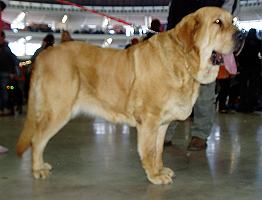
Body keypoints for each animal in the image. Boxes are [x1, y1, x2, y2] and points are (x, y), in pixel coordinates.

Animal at [16, 7, 244, 185]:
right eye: (217, 22)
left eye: (233, 21)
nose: (242, 35)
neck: (184, 61)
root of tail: (44, 55)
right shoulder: (150, 121)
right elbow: (149, 151)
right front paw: (154, 176)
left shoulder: (162, 124)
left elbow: (158, 151)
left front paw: (159, 170)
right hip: (59, 110)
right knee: (37, 140)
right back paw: (37, 169)